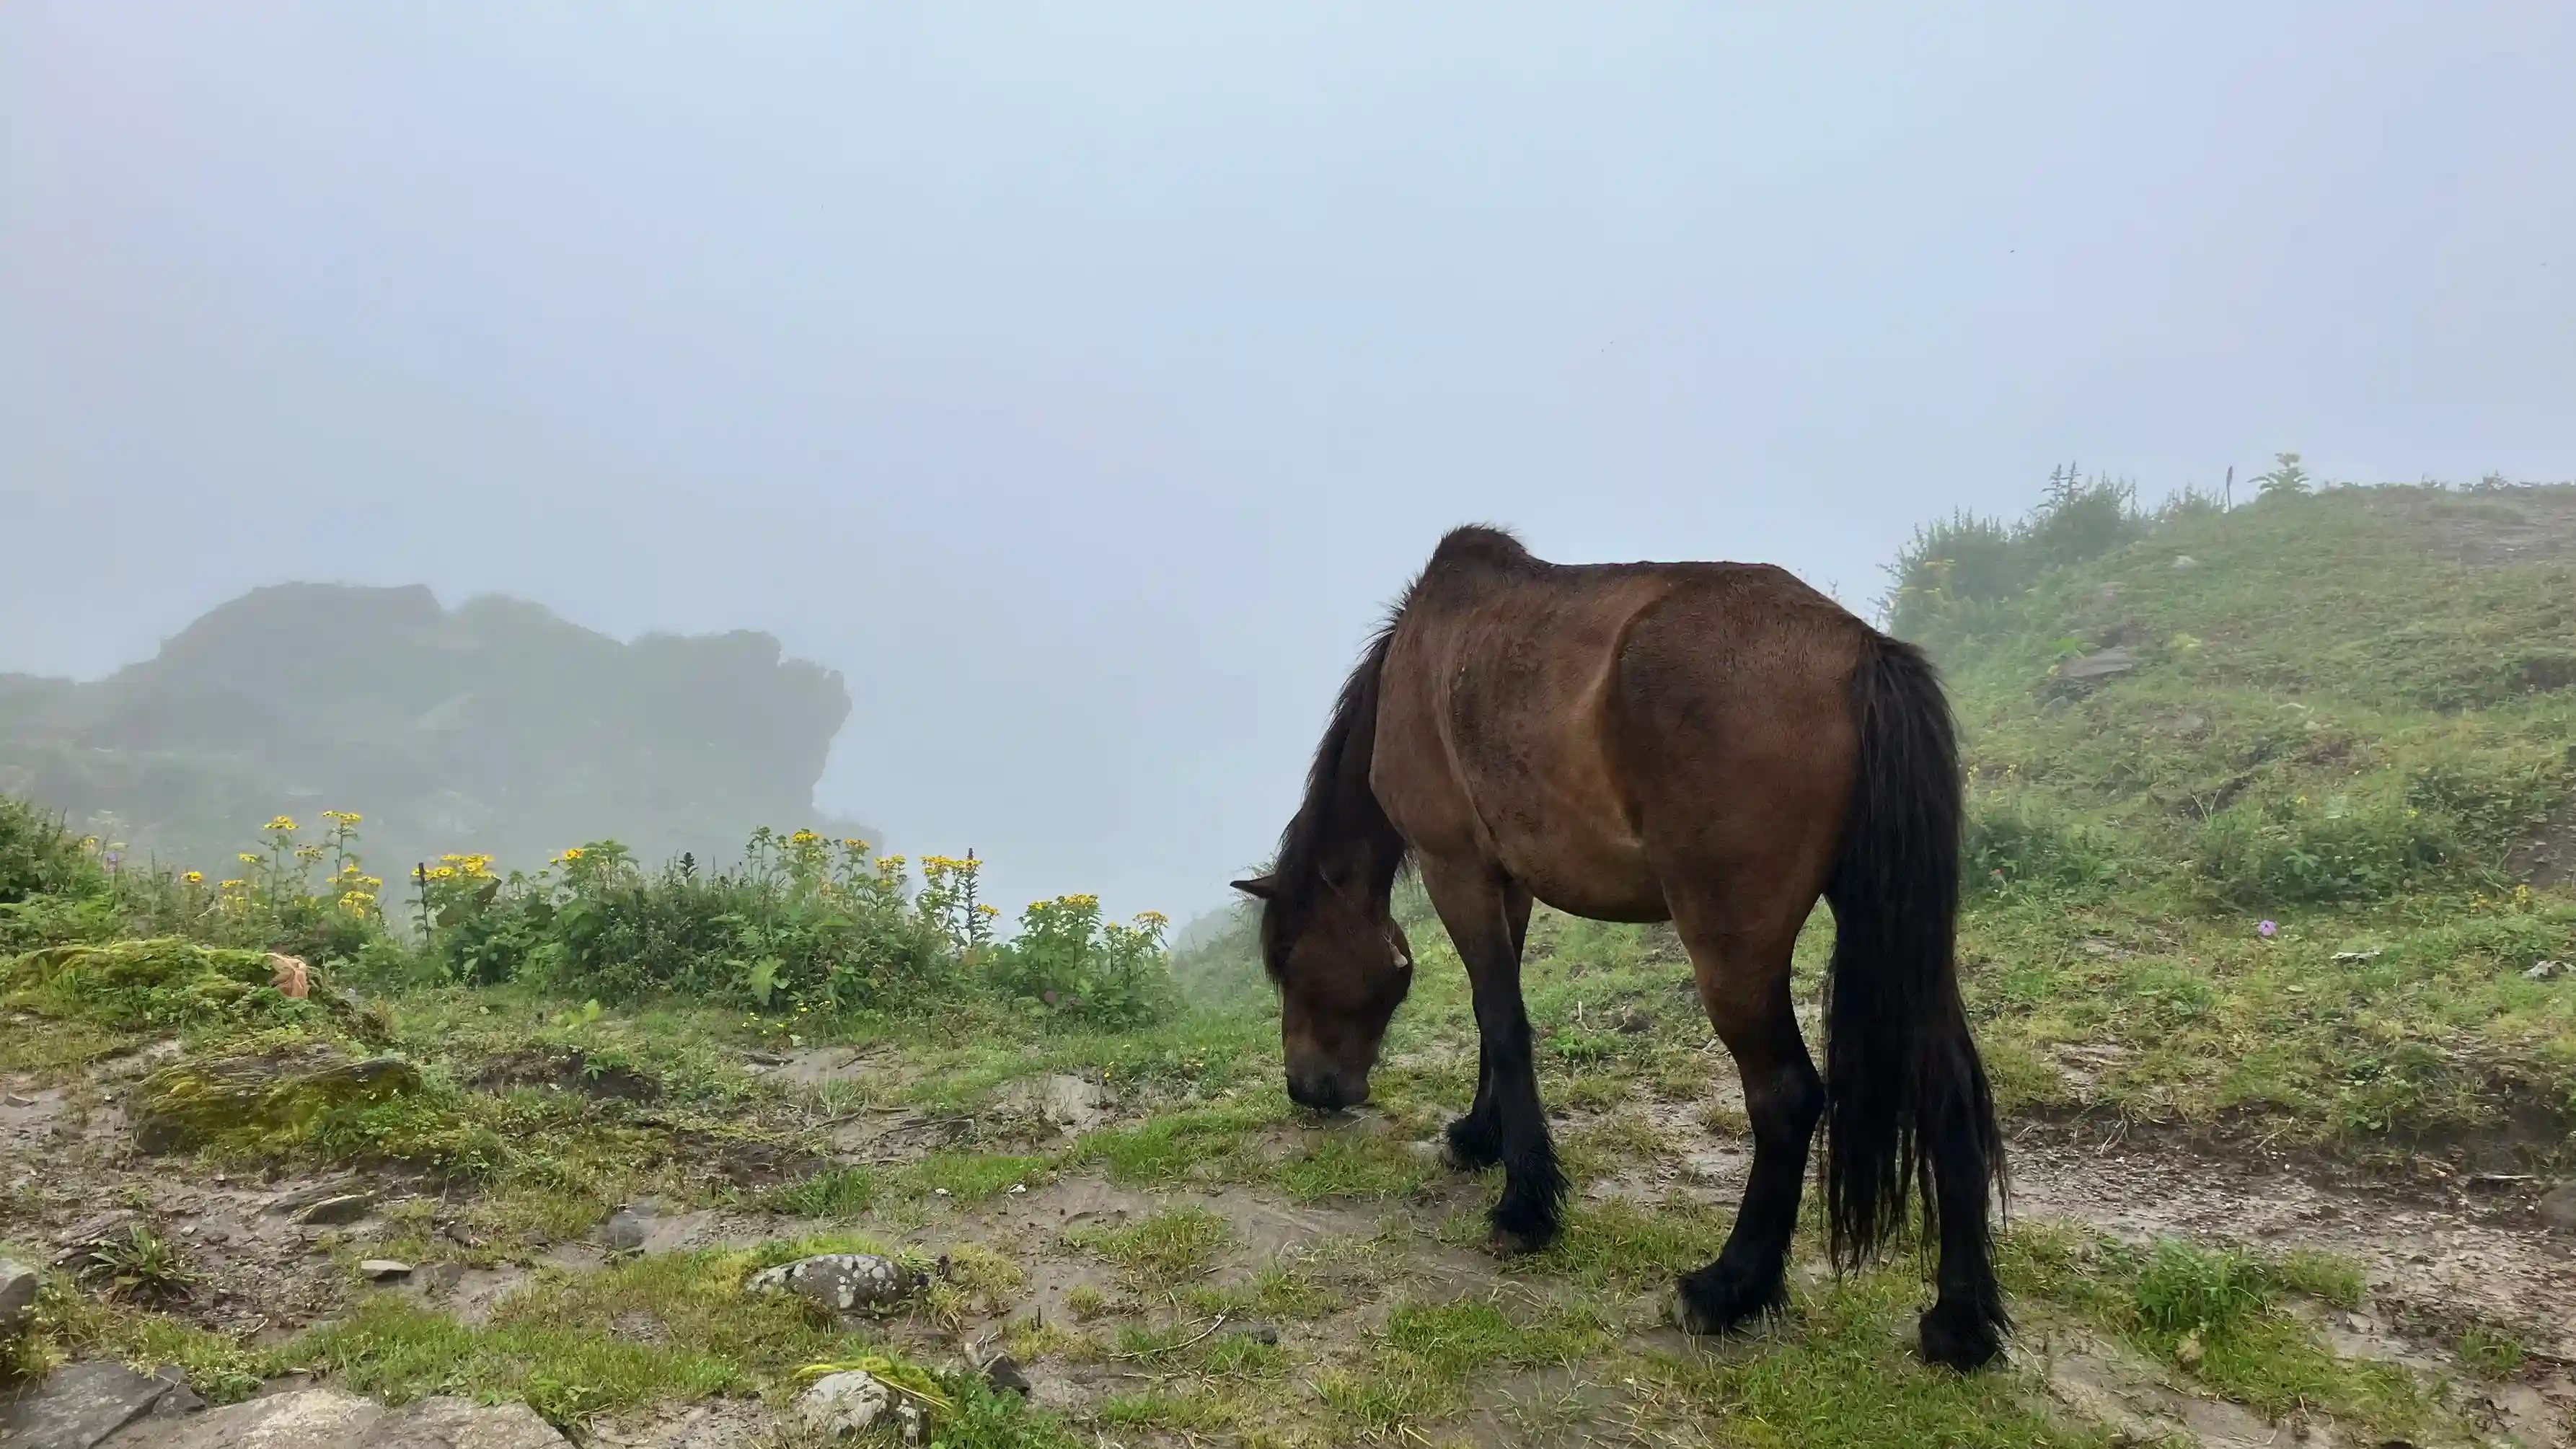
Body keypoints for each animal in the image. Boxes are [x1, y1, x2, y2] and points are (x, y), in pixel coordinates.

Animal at [1231, 521, 2009, 1361]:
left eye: (1287, 957)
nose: (1306, 1088)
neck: (1422, 657)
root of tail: (1862, 649)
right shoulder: (1508, 880)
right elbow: (1490, 1014)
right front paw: (1479, 1136)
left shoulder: (1455, 868)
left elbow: (1502, 1023)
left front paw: (1525, 1207)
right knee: (1947, 1086)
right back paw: (1960, 1320)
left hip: (1731, 952)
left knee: (1786, 1095)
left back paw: (1728, 1286)